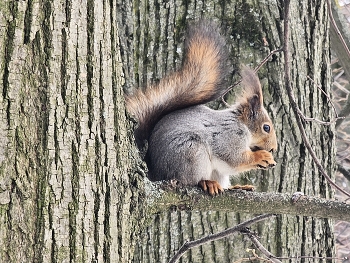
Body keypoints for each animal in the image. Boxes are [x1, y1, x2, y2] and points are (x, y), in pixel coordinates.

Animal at [125, 20, 276, 196]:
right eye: (266, 127)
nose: (273, 149)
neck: (241, 124)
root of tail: (156, 173)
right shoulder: (229, 136)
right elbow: (235, 158)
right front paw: (262, 157)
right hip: (192, 153)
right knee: (191, 180)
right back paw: (207, 182)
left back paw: (236, 187)